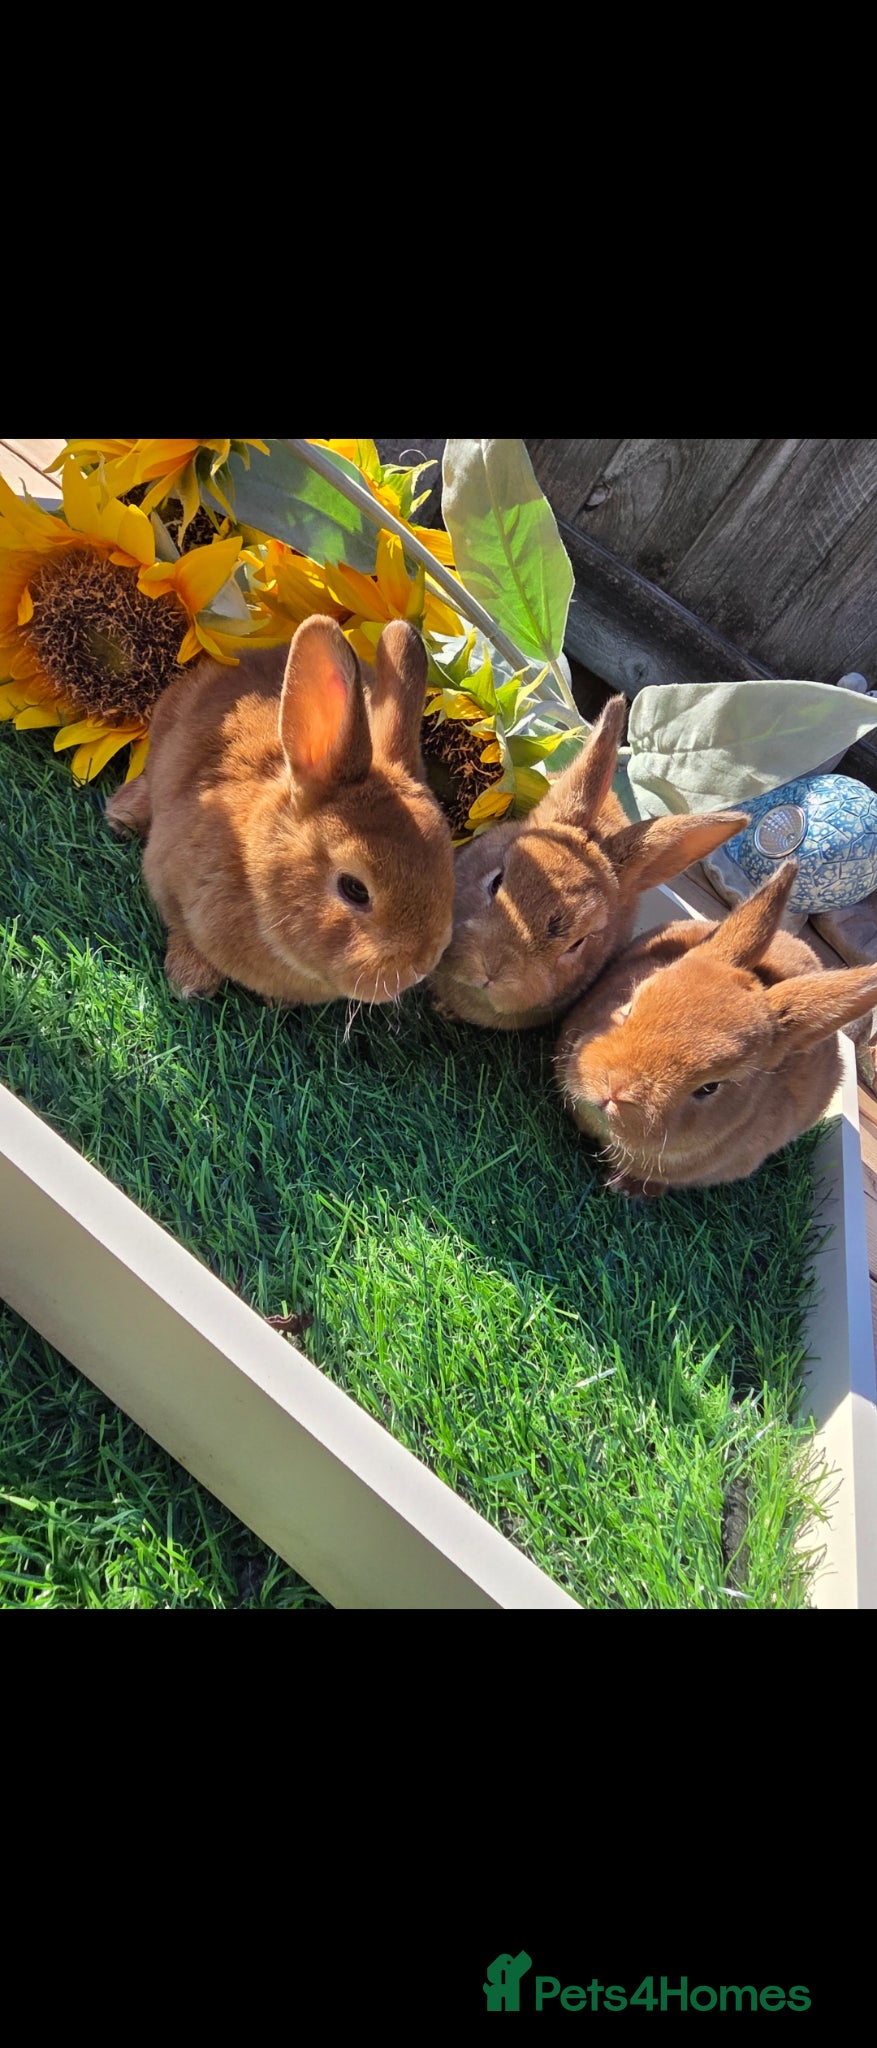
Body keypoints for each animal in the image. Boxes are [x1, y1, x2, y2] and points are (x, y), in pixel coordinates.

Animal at [105, 614, 455, 1005]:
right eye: (354, 889)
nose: (420, 965)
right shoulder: (167, 879)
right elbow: (182, 930)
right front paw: (189, 982)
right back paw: (121, 816)